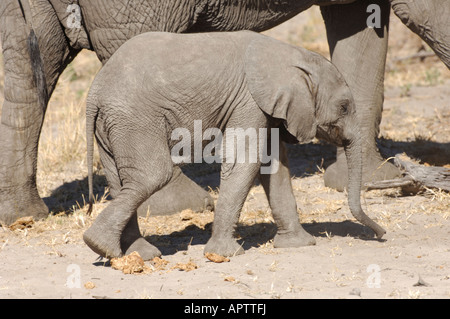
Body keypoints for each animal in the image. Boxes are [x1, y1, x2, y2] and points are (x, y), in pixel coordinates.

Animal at [0, 0, 448, 225]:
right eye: (340, 107)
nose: (379, 231)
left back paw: (24, 217)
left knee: (26, 61)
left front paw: (377, 178)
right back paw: (182, 205)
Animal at [82, 30, 384, 262]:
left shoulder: (268, 108)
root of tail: (93, 92)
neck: (292, 56)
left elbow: (274, 167)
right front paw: (226, 254)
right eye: (344, 108)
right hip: (134, 119)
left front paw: (299, 244)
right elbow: (245, 160)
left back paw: (136, 254)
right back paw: (101, 245)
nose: (382, 235)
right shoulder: (249, 100)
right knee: (152, 175)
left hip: (112, 126)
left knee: (121, 182)